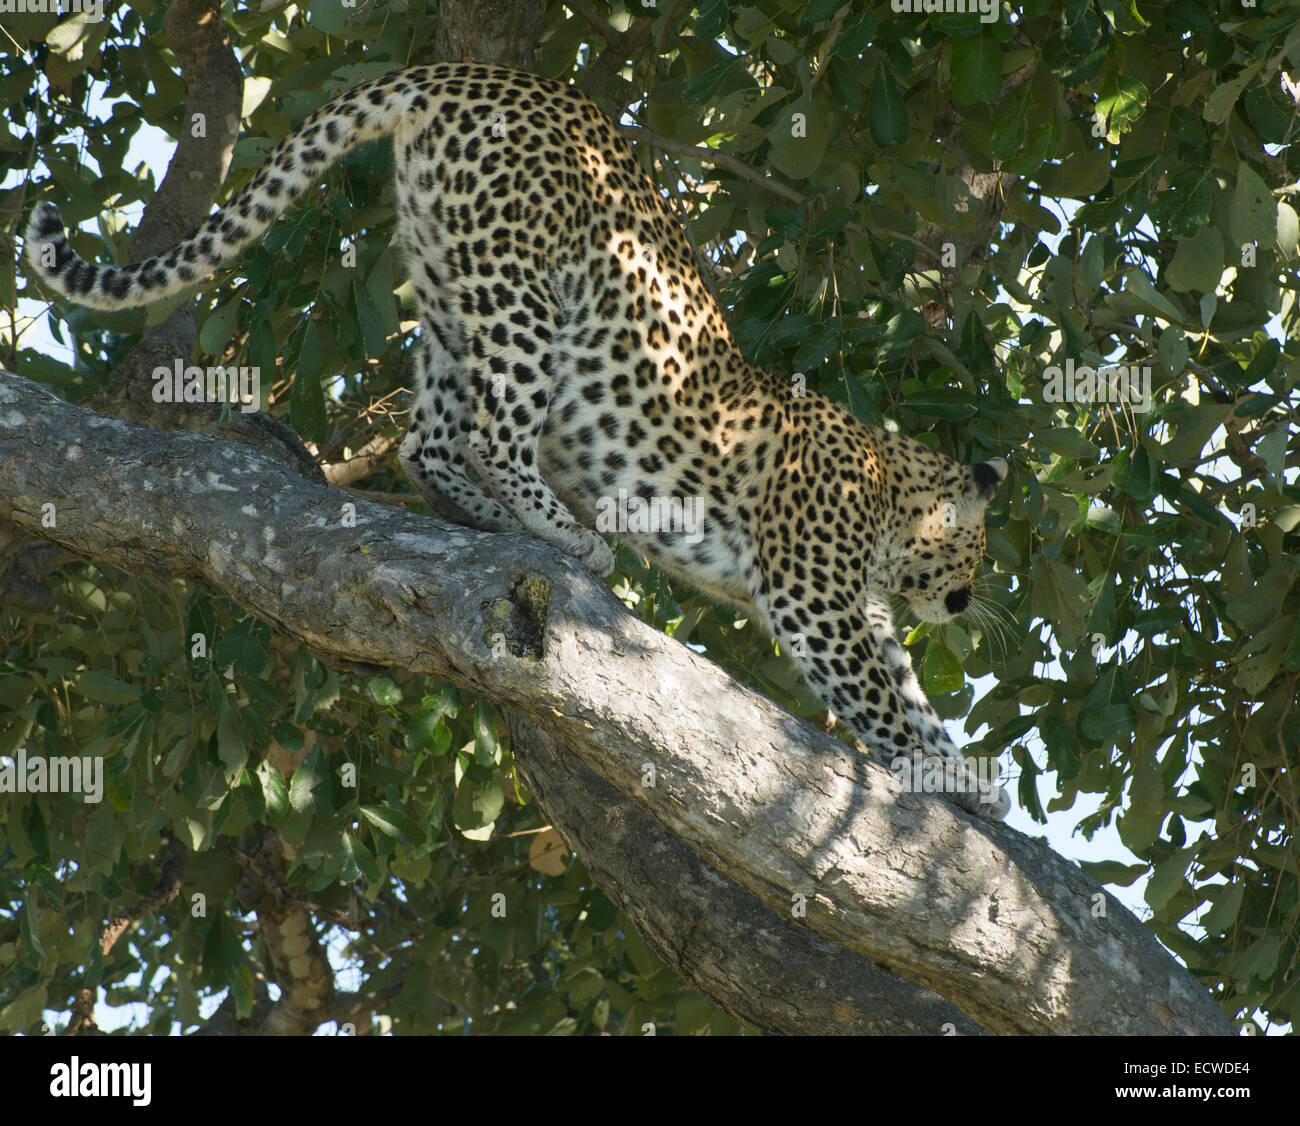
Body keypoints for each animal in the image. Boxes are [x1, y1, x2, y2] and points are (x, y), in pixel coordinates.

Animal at [24, 61, 1010, 819]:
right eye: (973, 554)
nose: (964, 602)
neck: (886, 488)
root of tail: (461, 72)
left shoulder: (861, 610)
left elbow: (911, 691)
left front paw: (964, 771)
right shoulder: (816, 600)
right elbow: (881, 701)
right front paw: (939, 774)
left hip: (446, 287)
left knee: (429, 441)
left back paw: (493, 518)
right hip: (523, 295)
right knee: (493, 435)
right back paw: (568, 532)